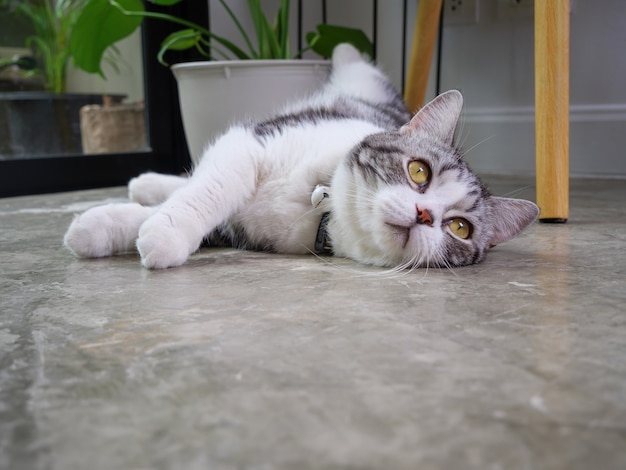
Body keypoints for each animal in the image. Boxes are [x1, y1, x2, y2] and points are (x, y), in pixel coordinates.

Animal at [66, 44, 540, 272]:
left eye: (460, 228)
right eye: (418, 171)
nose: (425, 214)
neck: (321, 202)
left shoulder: (240, 227)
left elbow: (188, 206)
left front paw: (108, 228)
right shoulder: (251, 144)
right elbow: (208, 191)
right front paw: (142, 228)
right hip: (357, 85)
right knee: (355, 61)